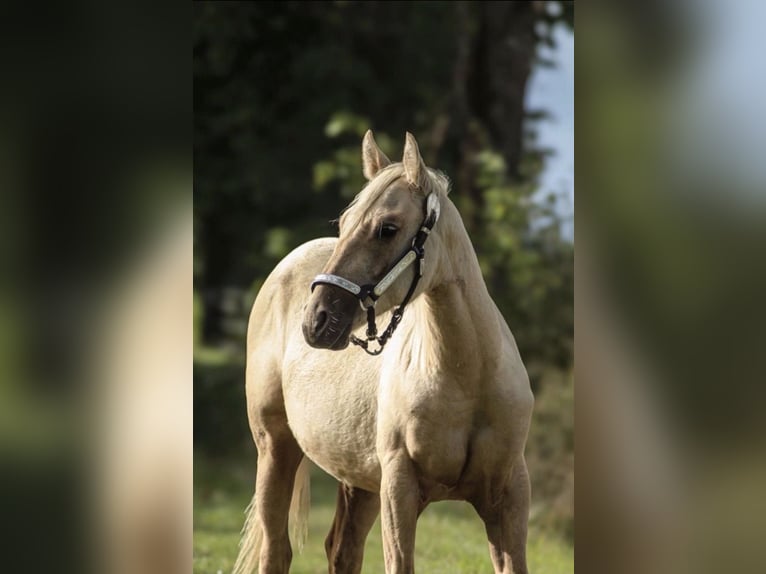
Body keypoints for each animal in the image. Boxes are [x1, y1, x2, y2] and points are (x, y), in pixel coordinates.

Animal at [233, 131, 534, 574]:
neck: (468, 380)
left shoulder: (508, 497)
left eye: (387, 229)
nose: (317, 320)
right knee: (277, 550)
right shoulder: (399, 490)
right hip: (275, 448)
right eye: (344, 224)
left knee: (342, 550)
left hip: (359, 481)